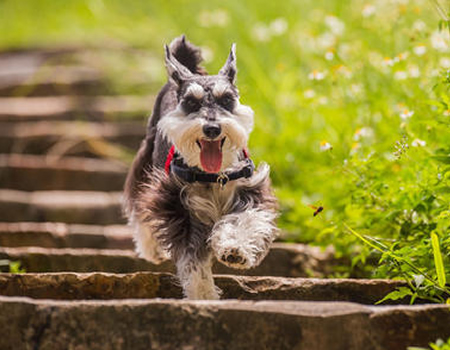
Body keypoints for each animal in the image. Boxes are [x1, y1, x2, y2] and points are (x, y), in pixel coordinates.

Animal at [123, 34, 278, 298]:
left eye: (227, 99)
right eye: (190, 103)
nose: (212, 128)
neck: (213, 175)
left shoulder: (250, 191)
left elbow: (243, 220)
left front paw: (235, 249)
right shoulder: (178, 207)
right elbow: (192, 258)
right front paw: (202, 294)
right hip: (145, 162)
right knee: (139, 204)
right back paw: (151, 249)